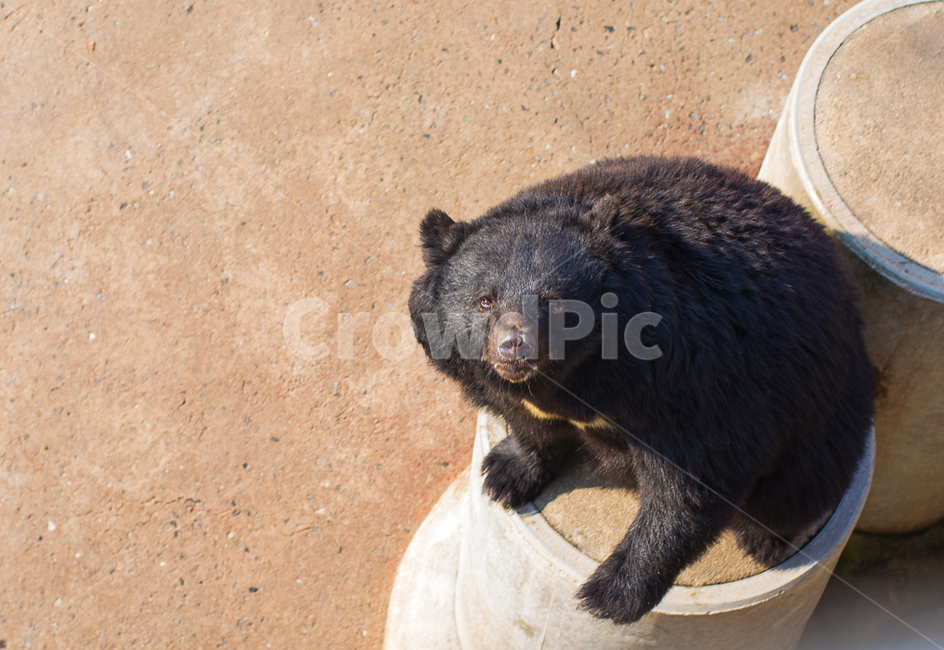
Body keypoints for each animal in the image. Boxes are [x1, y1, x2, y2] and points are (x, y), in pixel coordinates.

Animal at [408, 156, 874, 625]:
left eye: (553, 301)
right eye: (485, 300)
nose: (514, 347)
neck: (574, 375)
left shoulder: (692, 374)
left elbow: (693, 476)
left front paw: (610, 593)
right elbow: (526, 420)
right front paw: (505, 475)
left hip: (820, 401)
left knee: (797, 487)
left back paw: (770, 538)